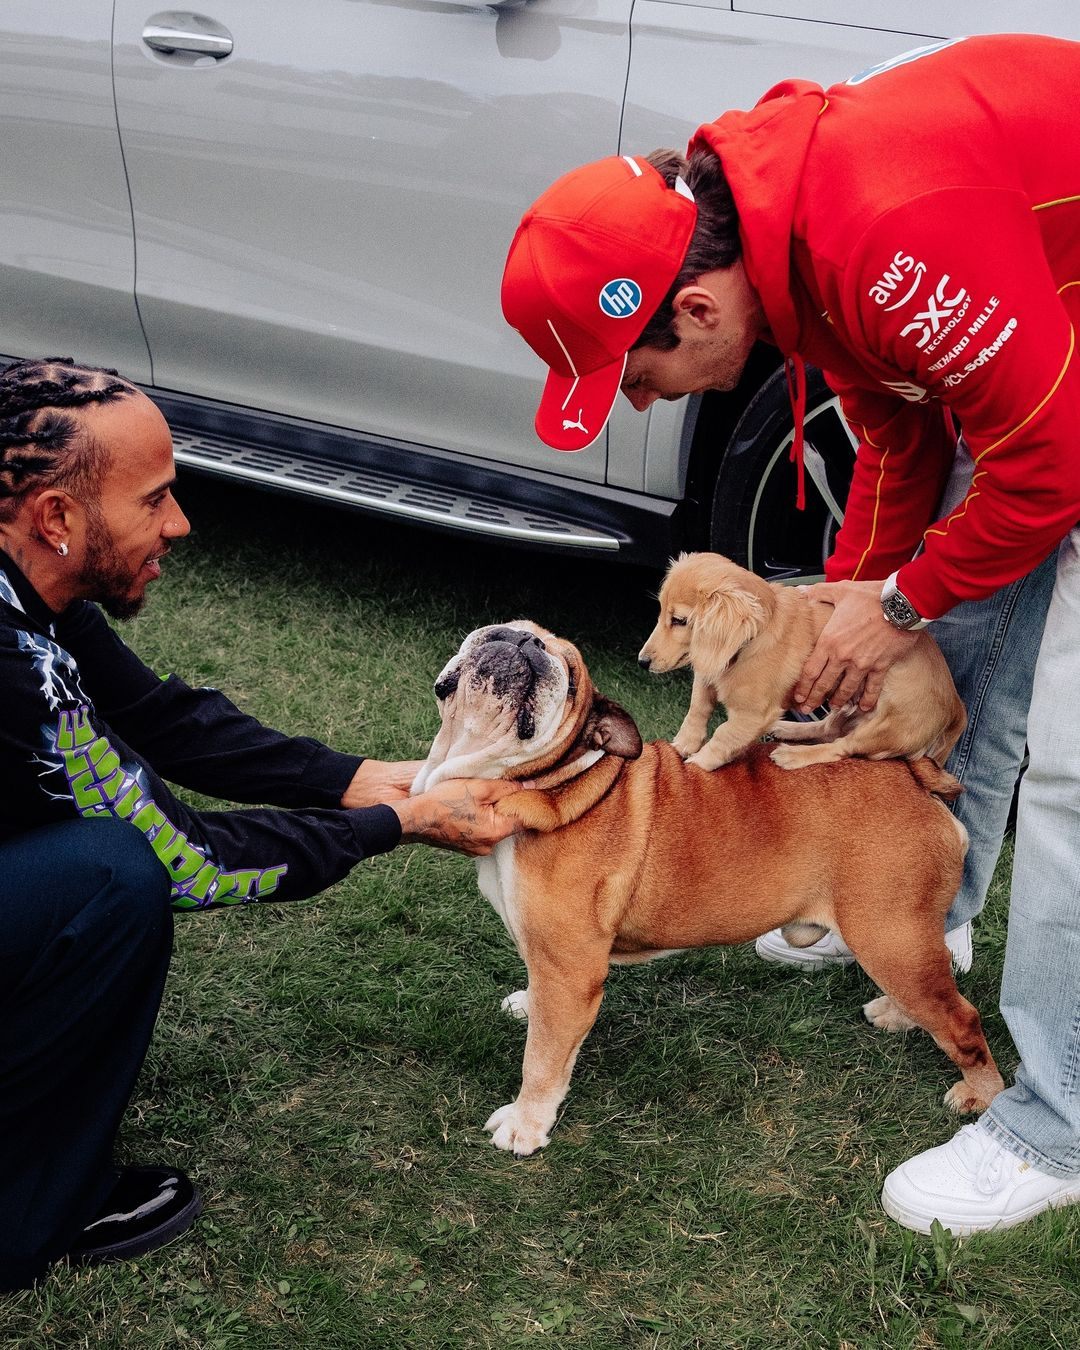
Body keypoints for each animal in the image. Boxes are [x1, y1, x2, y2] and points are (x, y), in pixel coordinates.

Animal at [637, 550, 966, 772]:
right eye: (661, 611)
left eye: (680, 620)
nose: (642, 662)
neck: (749, 645)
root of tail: (955, 703)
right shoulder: (708, 675)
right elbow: (697, 708)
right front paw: (683, 743)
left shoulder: (751, 715)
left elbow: (722, 736)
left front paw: (695, 765)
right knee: (827, 728)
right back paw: (787, 730)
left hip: (884, 728)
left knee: (840, 747)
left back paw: (793, 756)